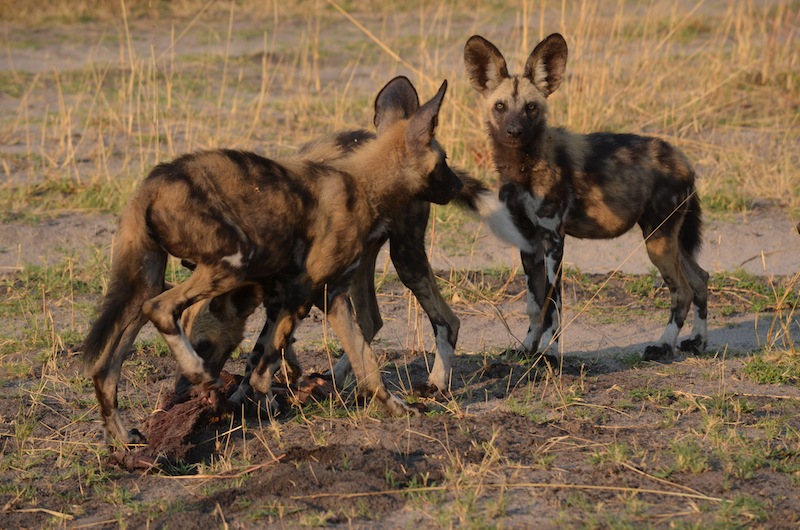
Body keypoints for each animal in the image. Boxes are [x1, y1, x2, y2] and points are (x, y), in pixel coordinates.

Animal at [83, 76, 467, 446]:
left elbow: (361, 359)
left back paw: (124, 436)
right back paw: (197, 375)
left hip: (147, 279)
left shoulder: (325, 294)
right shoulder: (304, 293)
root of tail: (151, 183)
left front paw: (395, 408)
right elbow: (266, 361)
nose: (459, 185)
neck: (364, 184)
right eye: (445, 160)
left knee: (105, 366)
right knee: (160, 309)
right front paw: (263, 405)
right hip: (234, 261)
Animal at [463, 33, 709, 361]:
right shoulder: (528, 241)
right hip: (668, 238)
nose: (514, 132)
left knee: (682, 291)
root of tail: (683, 159)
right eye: (500, 106)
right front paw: (526, 349)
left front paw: (550, 355)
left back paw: (662, 345)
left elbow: (552, 304)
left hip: (657, 241)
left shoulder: (554, 240)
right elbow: (534, 305)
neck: (522, 167)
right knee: (700, 279)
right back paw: (698, 341)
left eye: (530, 107)